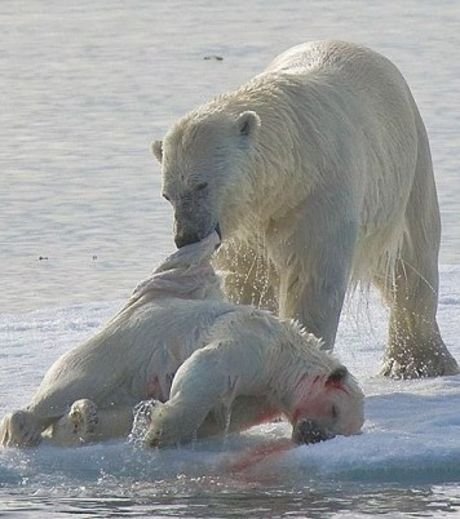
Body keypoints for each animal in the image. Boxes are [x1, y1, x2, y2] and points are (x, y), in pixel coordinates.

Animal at [153, 37, 458, 378]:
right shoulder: (249, 224)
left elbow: (312, 277)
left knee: (411, 261)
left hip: (408, 169)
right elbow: (248, 278)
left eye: (201, 184)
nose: (186, 236)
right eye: (168, 195)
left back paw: (419, 362)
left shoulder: (318, 192)